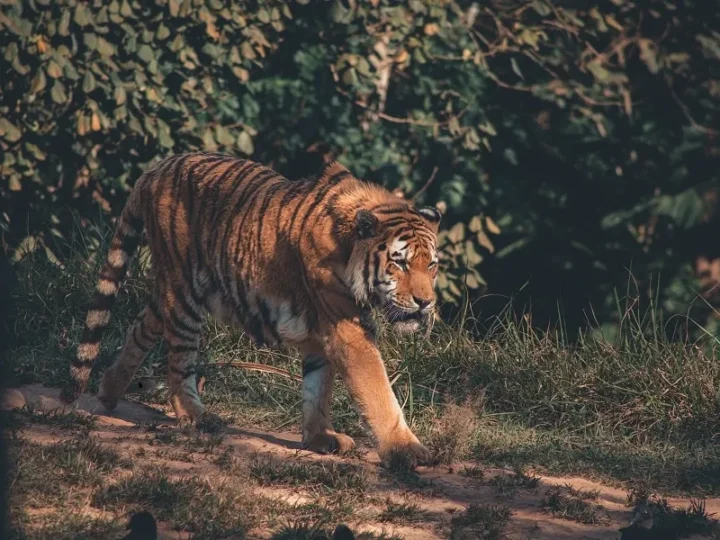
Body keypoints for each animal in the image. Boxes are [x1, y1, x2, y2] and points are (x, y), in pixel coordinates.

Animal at [60, 152, 441, 464]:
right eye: (400, 263)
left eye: (432, 265)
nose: (425, 302)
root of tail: (157, 167)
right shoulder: (346, 329)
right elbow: (377, 390)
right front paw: (405, 450)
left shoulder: (323, 331)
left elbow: (317, 387)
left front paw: (320, 438)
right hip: (185, 295)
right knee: (179, 363)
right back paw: (196, 417)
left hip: (171, 291)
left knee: (141, 327)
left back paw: (109, 391)